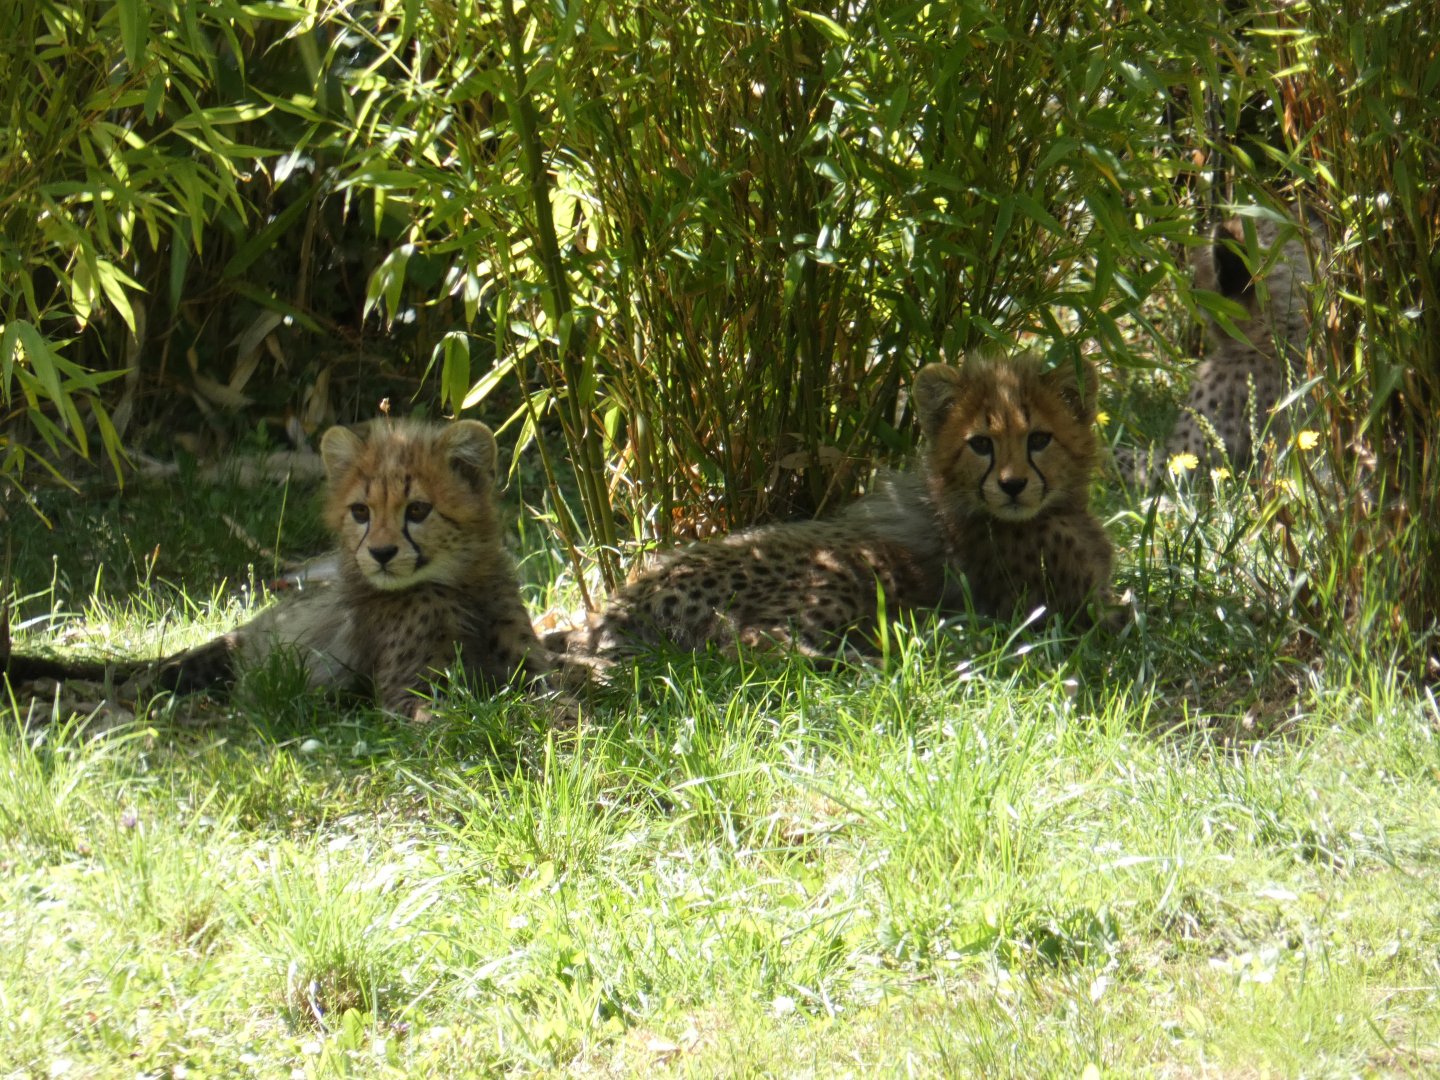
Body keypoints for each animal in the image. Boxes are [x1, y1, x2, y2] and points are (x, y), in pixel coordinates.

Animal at [3, 418, 554, 717]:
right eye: (361, 512)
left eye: (417, 509)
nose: (380, 553)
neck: (454, 583)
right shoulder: (405, 691)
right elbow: (451, 713)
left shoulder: (525, 661)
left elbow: (547, 693)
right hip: (220, 660)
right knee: (147, 679)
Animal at [558, 352, 1115, 663]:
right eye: (981, 444)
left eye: (1039, 439)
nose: (1014, 485)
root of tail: (617, 602)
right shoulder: (1068, 610)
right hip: (842, 570)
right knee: (753, 644)